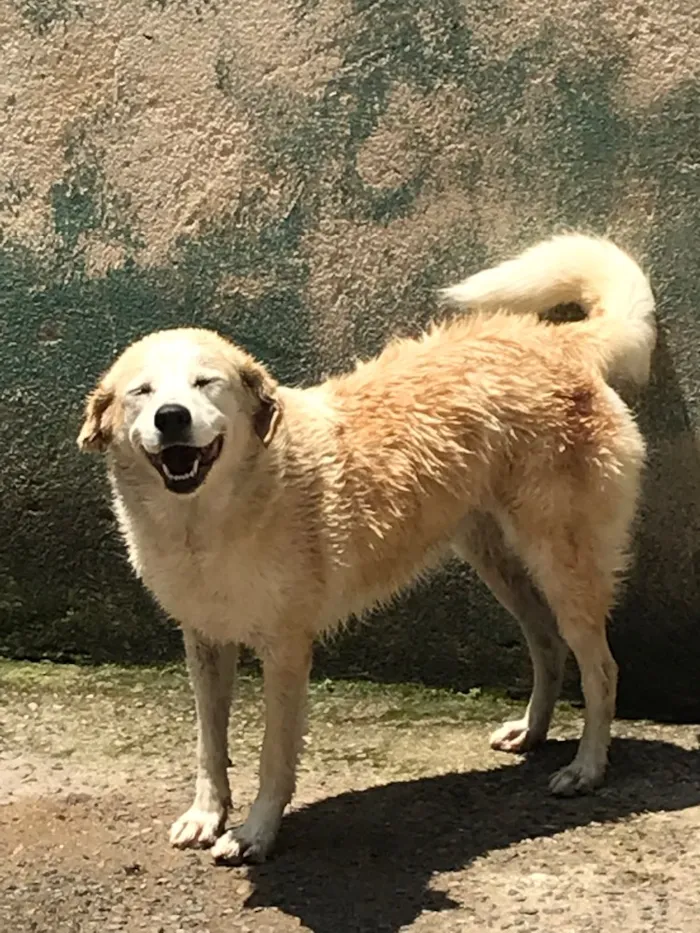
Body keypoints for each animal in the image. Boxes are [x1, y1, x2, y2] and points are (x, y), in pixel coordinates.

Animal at [78, 233, 656, 860]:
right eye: (141, 392)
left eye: (207, 383)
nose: (172, 418)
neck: (209, 522)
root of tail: (557, 341)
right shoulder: (204, 641)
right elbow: (210, 745)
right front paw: (206, 815)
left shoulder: (287, 650)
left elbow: (274, 755)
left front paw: (256, 833)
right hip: (499, 563)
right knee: (547, 644)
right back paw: (531, 732)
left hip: (564, 564)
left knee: (602, 667)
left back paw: (587, 768)